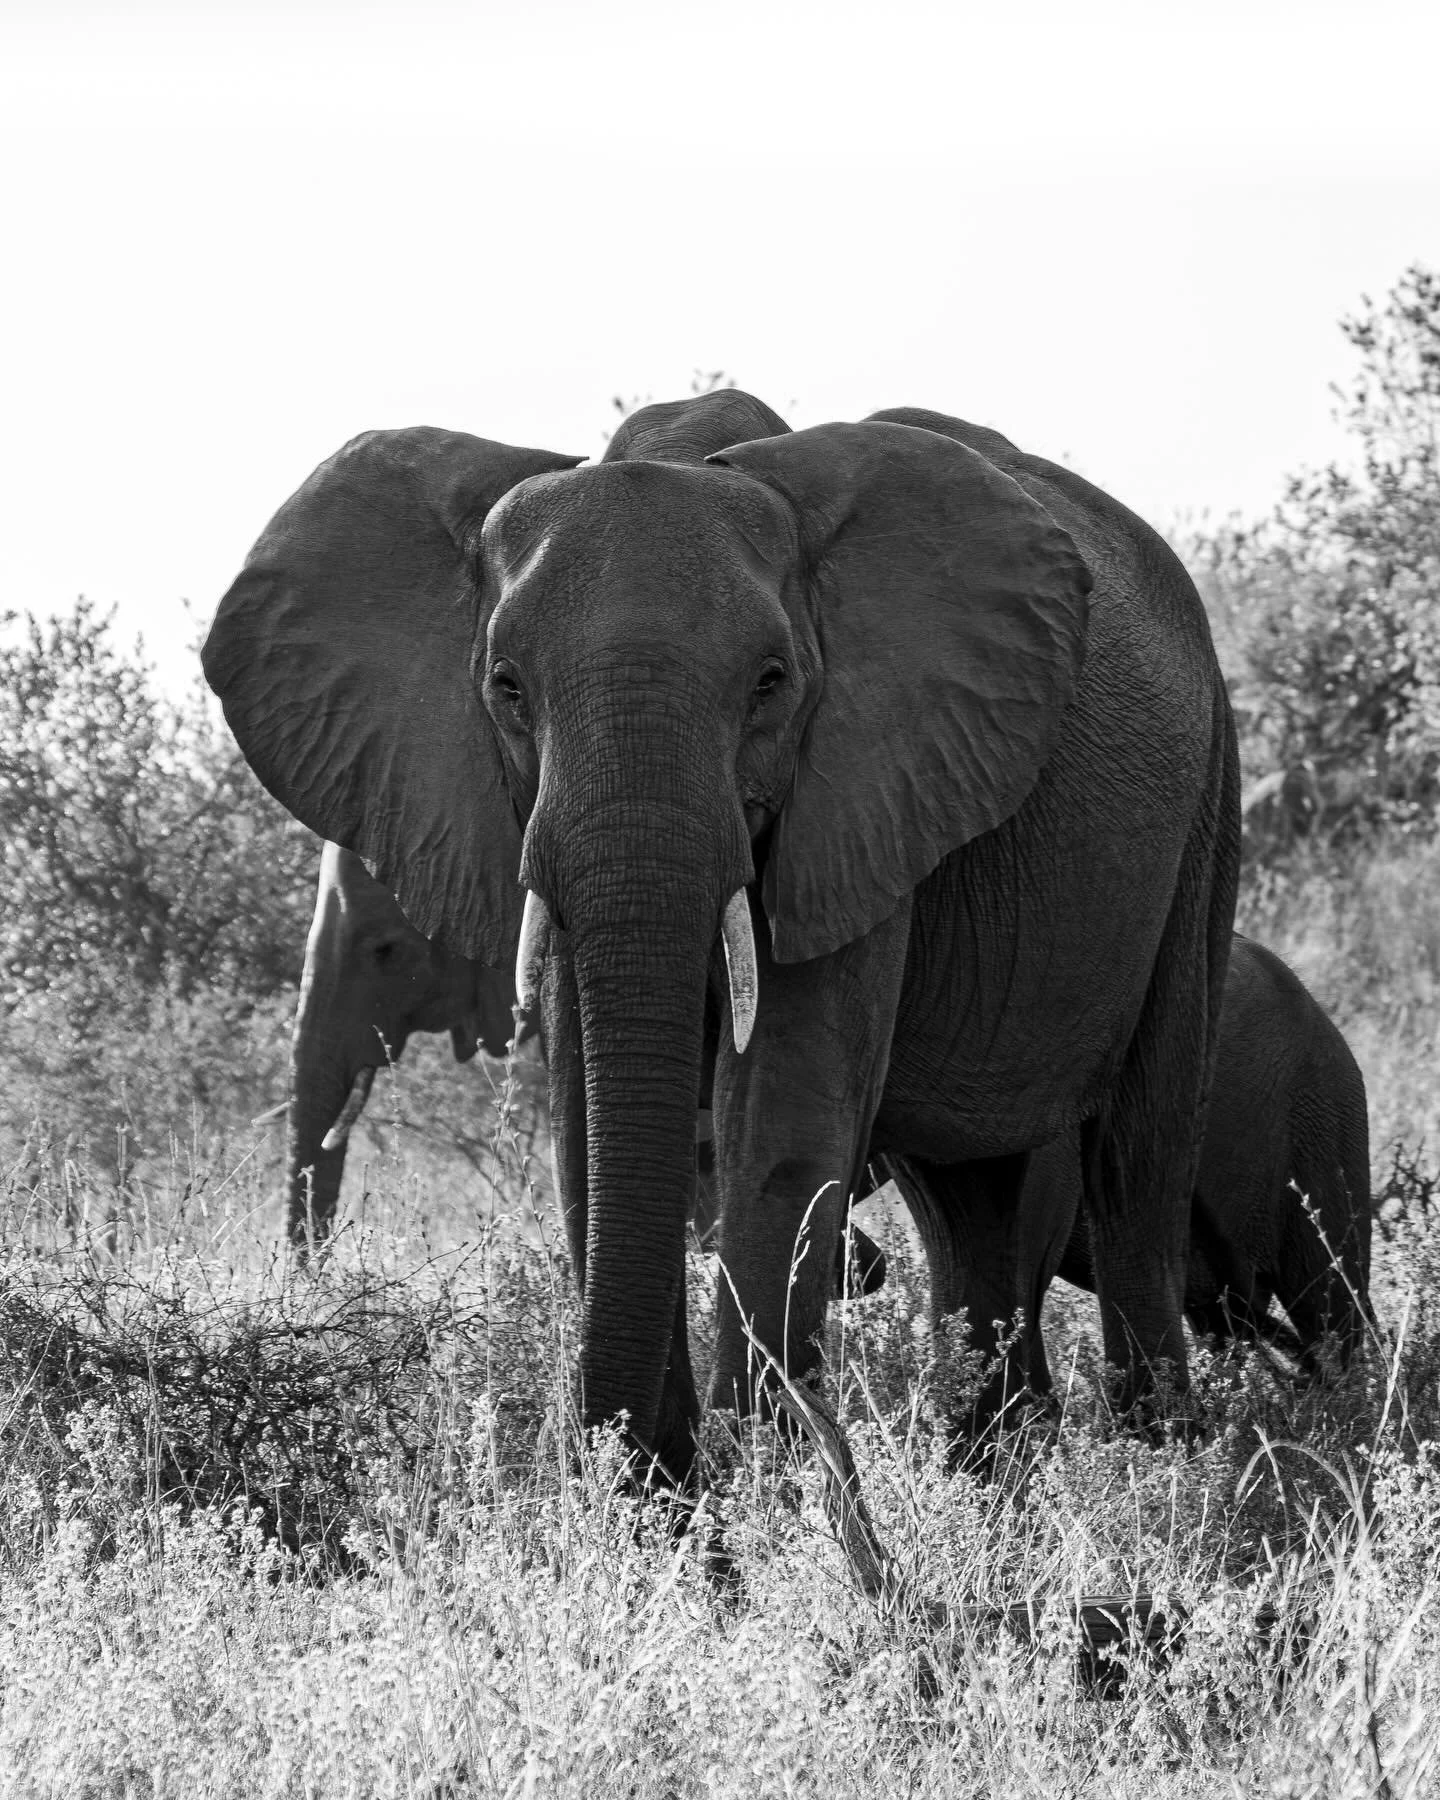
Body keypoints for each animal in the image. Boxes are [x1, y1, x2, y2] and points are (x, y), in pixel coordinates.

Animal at [203, 387, 1240, 1486]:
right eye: (506, 686)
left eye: (771, 681)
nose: (620, 1456)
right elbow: (588, 1112)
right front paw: (662, 1492)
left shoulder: (863, 786)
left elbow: (784, 1109)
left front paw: (764, 1486)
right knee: (974, 1208)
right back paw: (998, 1469)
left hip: (1206, 800)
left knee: (1138, 1161)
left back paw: (1169, 1469)